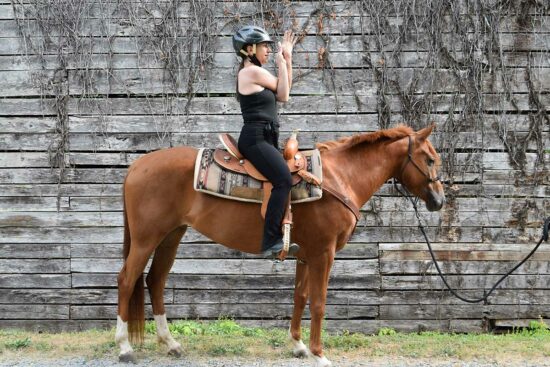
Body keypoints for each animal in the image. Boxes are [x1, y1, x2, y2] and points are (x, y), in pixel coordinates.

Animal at [115, 125, 444, 366]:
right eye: (429, 159)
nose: (439, 201)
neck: (338, 178)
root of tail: (137, 166)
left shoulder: (306, 255)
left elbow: (300, 296)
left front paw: (298, 345)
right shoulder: (324, 253)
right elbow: (319, 302)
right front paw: (319, 354)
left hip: (171, 235)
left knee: (156, 280)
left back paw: (170, 344)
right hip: (146, 238)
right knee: (127, 280)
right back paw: (124, 347)